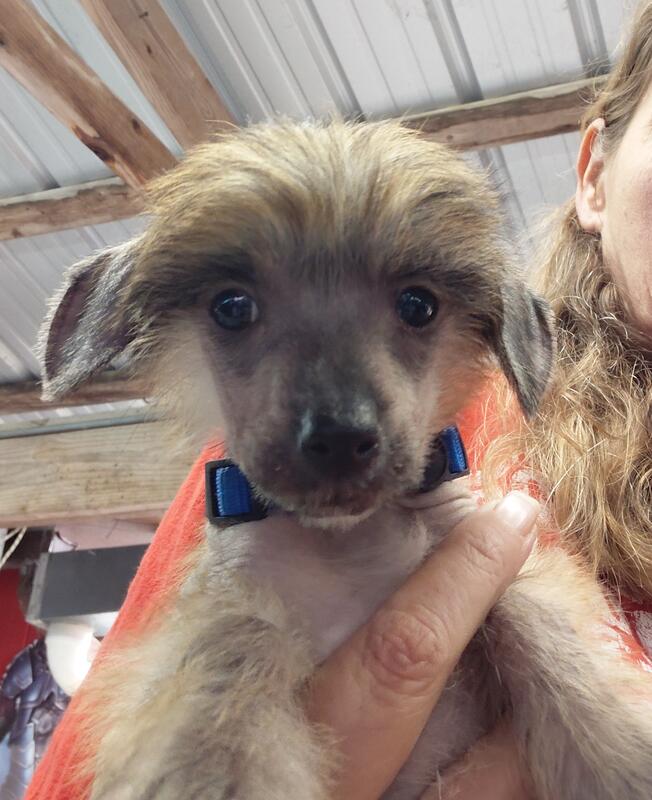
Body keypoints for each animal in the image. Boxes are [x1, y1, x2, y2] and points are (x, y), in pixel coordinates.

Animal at [40, 120, 652, 799]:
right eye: (231, 306)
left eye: (418, 305)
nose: (337, 436)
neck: (350, 545)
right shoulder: (228, 611)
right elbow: (229, 667)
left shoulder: (500, 562)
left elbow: (546, 635)